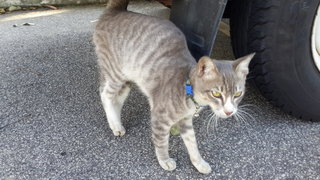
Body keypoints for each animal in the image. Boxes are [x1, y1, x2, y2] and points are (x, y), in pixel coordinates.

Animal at [93, 0, 255, 174]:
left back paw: (116, 124)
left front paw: (199, 162)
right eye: (216, 94)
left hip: (126, 81)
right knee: (105, 94)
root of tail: (115, 11)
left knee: (116, 99)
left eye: (238, 94)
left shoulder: (186, 121)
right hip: (115, 72)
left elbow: (192, 143)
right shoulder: (159, 117)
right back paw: (115, 123)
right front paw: (164, 160)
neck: (187, 89)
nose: (229, 111)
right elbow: (162, 142)